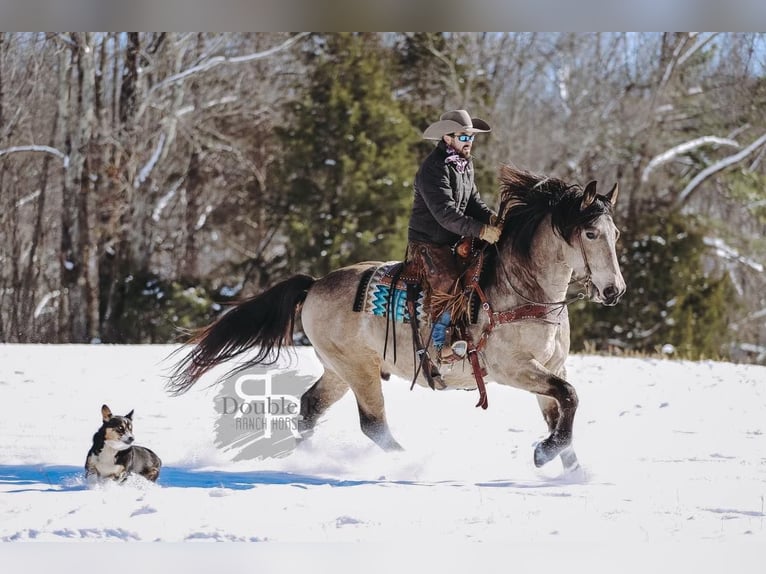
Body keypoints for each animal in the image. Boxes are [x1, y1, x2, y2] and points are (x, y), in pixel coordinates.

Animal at [166, 165, 624, 472]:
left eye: (615, 234)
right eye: (590, 233)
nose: (614, 291)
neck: (522, 290)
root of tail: (314, 285)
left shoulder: (551, 366)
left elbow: (562, 408)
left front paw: (572, 473)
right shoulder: (514, 369)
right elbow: (570, 398)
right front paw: (544, 453)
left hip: (339, 369)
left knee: (311, 406)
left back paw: (304, 458)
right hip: (359, 369)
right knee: (373, 425)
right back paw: (408, 463)